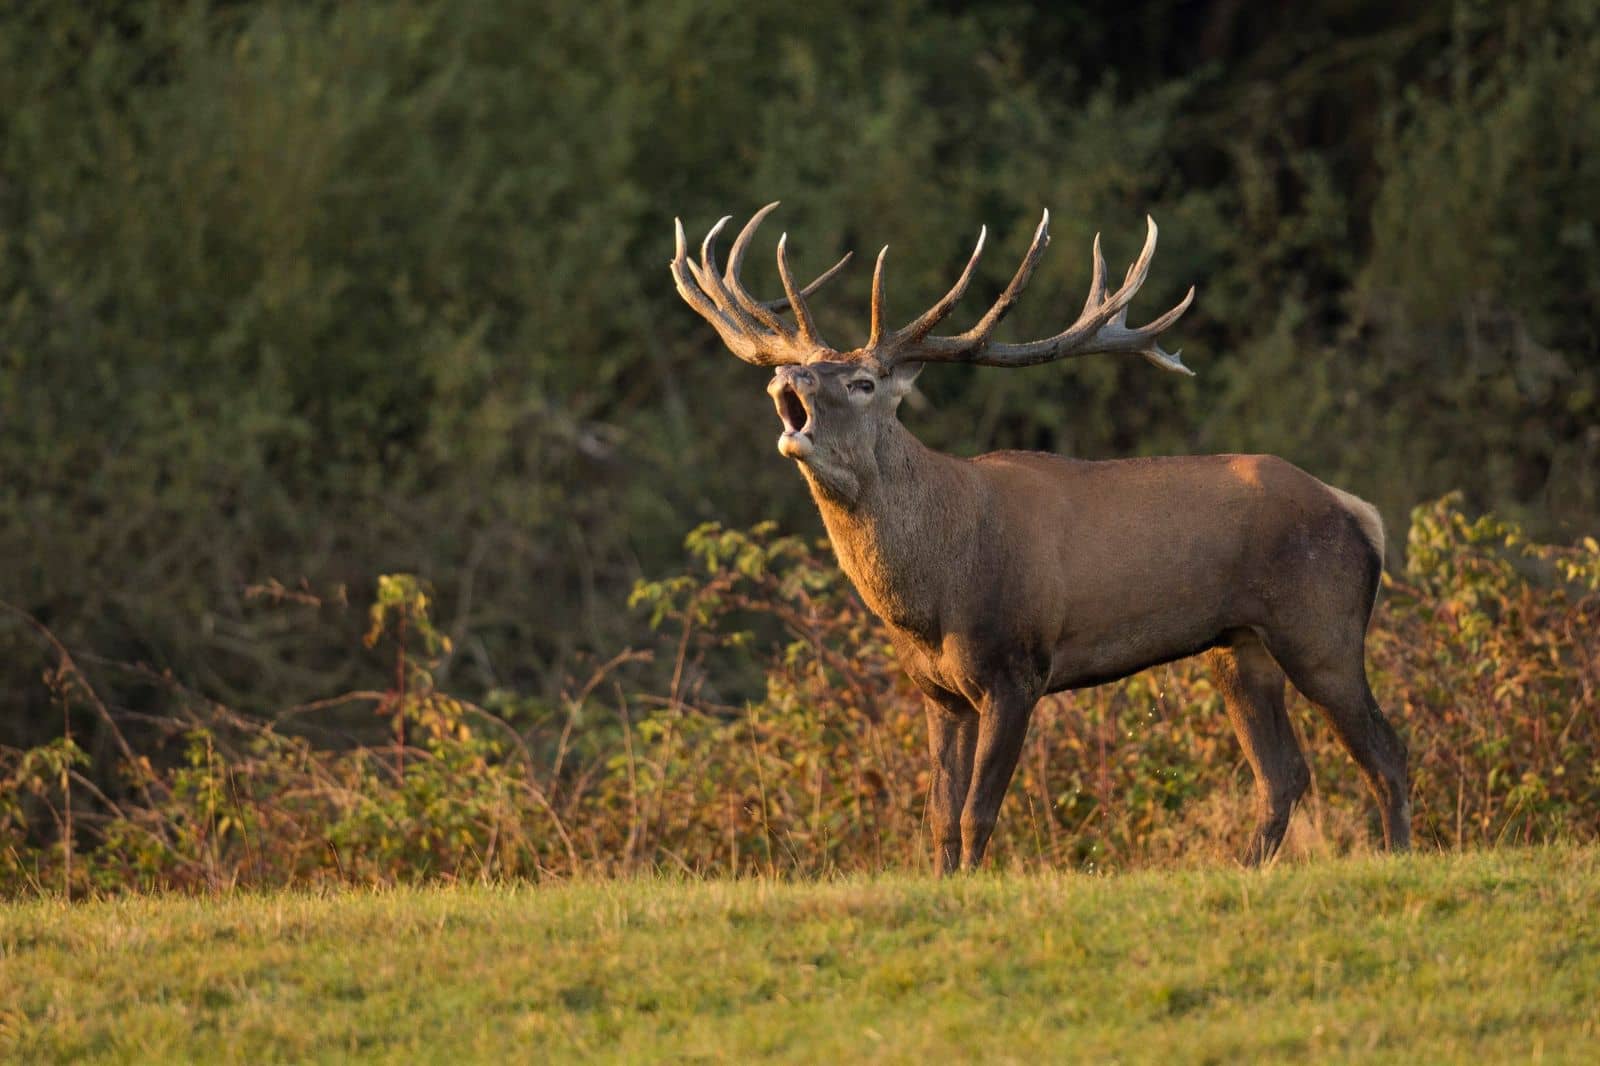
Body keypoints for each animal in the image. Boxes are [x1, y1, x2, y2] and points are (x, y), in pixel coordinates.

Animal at [668, 203, 1408, 870]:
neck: (932, 591)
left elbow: (978, 812)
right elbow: (939, 815)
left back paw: (1400, 854)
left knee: (1385, 749)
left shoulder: (1016, 668)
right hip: (1239, 647)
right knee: (1283, 774)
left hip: (1320, 626)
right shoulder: (937, 691)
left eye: (862, 381)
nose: (786, 375)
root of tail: (1359, 513)